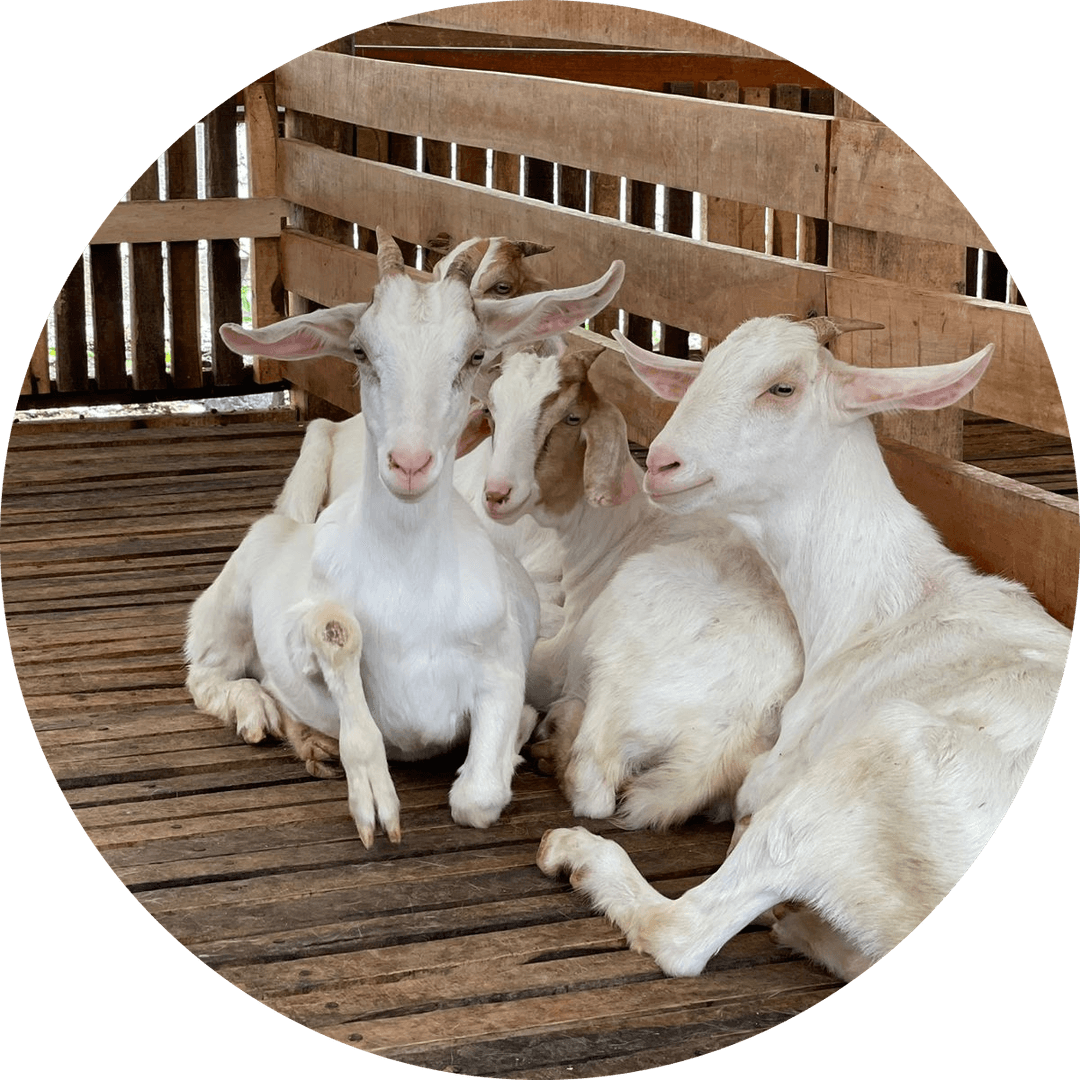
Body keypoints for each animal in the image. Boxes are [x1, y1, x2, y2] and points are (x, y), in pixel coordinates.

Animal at [185, 228, 624, 846]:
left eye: (474, 355)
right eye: (361, 352)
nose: (410, 463)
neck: (410, 581)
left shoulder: (503, 668)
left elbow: (479, 796)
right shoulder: (301, 634)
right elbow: (331, 639)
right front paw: (371, 793)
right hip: (229, 603)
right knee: (206, 671)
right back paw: (260, 712)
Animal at [477, 337, 802, 828]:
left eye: (572, 418)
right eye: (493, 411)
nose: (497, 494)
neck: (624, 532)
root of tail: (737, 726)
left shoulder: (559, 657)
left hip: (619, 664)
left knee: (592, 784)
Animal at [537, 315, 1070, 980]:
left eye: (782, 388)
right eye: (703, 370)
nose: (662, 463)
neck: (879, 609)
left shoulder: (773, 776)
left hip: (869, 766)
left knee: (685, 931)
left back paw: (576, 851)